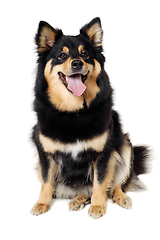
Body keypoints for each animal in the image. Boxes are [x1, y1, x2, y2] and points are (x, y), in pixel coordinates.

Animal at [31, 17, 150, 218]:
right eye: (61, 55)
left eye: (85, 54)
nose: (77, 63)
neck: (73, 112)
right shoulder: (46, 154)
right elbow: (47, 182)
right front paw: (42, 203)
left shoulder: (103, 154)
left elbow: (100, 183)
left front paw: (98, 206)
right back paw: (78, 200)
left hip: (124, 146)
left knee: (116, 183)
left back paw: (120, 197)